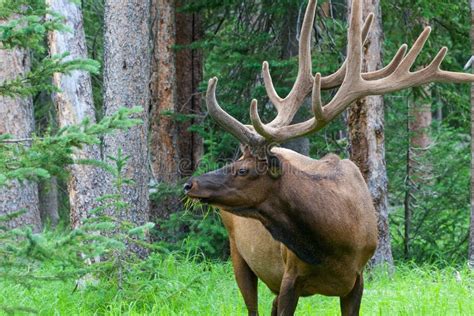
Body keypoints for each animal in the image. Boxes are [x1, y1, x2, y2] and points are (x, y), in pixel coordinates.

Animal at [183, 1, 472, 314]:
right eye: (236, 162)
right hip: (239, 253)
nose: (190, 184)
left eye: (243, 170)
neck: (332, 244)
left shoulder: (357, 281)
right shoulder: (289, 277)